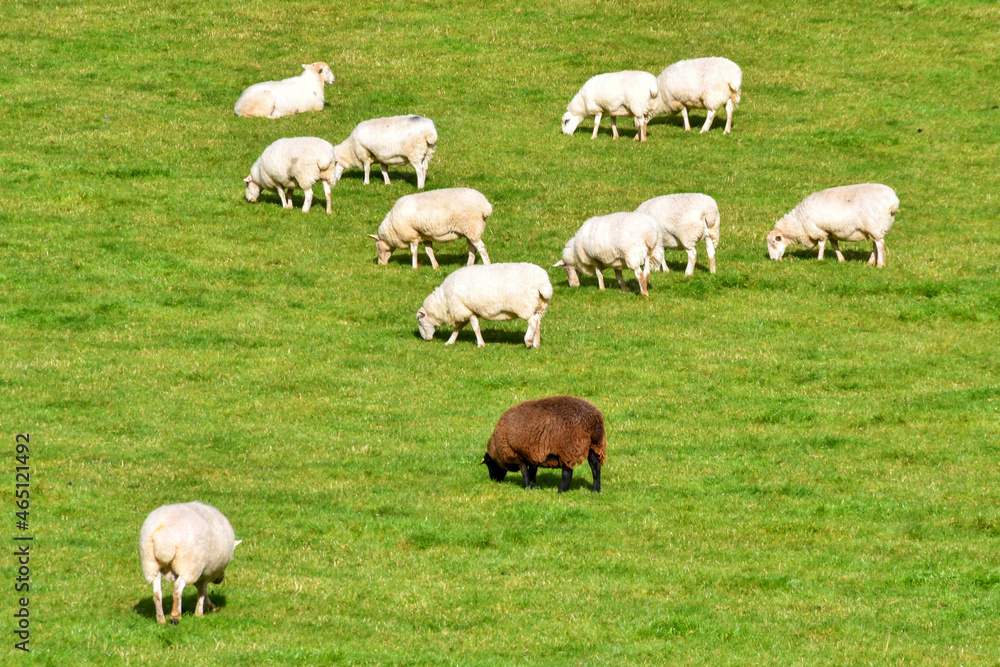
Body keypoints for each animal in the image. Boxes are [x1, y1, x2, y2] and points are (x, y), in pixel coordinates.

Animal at [139, 500, 240, 628]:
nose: (220, 579)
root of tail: (164, 537)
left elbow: (202, 590)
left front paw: (209, 606)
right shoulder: (205, 573)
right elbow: (202, 591)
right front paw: (200, 613)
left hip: (151, 565)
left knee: (157, 593)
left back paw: (161, 620)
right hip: (188, 565)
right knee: (177, 589)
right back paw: (175, 616)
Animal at [416, 264, 556, 350]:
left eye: (420, 321)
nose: (425, 339)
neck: (443, 301)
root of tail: (543, 283)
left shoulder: (466, 310)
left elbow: (475, 328)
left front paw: (480, 344)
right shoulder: (465, 311)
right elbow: (458, 328)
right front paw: (450, 341)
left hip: (524, 306)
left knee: (532, 322)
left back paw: (528, 342)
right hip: (540, 306)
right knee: (538, 322)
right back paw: (536, 344)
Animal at [768, 183, 904, 268]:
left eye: (773, 242)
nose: (773, 259)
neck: (798, 221)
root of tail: (893, 202)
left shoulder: (820, 231)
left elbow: (821, 245)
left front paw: (819, 259)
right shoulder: (831, 232)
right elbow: (834, 245)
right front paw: (841, 259)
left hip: (874, 224)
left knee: (880, 244)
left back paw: (880, 265)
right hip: (874, 228)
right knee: (876, 244)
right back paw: (870, 262)